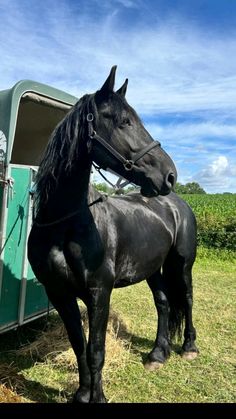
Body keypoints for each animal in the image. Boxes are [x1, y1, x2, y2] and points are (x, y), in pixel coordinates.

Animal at [27, 66, 198, 404]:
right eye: (124, 121)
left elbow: (96, 351)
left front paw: (98, 397)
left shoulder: (99, 292)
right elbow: (79, 346)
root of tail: (178, 203)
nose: (170, 175)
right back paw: (158, 354)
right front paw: (81, 394)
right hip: (153, 270)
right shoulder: (60, 293)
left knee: (186, 299)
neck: (64, 223)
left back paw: (188, 348)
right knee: (163, 303)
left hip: (181, 266)